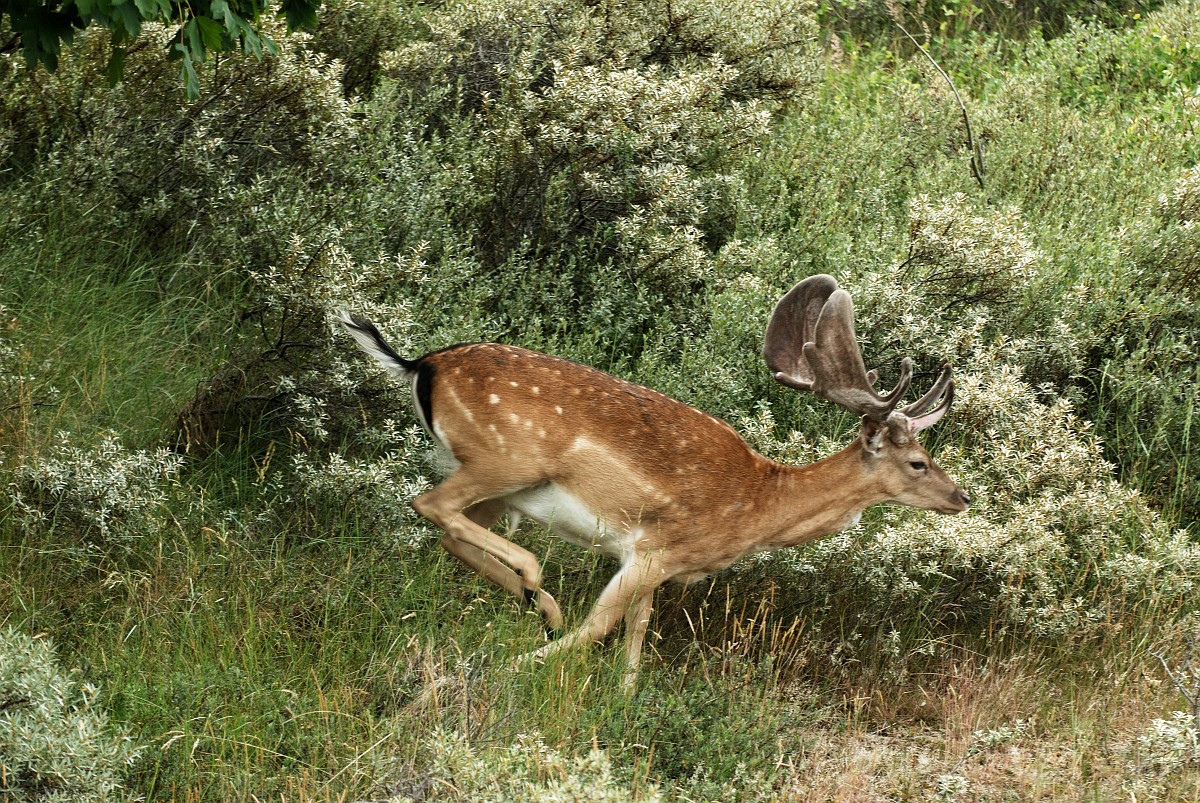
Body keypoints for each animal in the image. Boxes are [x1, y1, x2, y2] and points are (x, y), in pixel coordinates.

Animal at [339, 274, 969, 684]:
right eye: (918, 461)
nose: (960, 497)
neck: (758, 504)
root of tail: (420, 364)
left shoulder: (651, 560)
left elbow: (637, 635)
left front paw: (626, 693)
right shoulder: (656, 548)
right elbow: (600, 627)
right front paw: (511, 667)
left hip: (503, 485)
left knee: (450, 529)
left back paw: (530, 597)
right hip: (503, 459)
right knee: (430, 504)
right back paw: (540, 594)